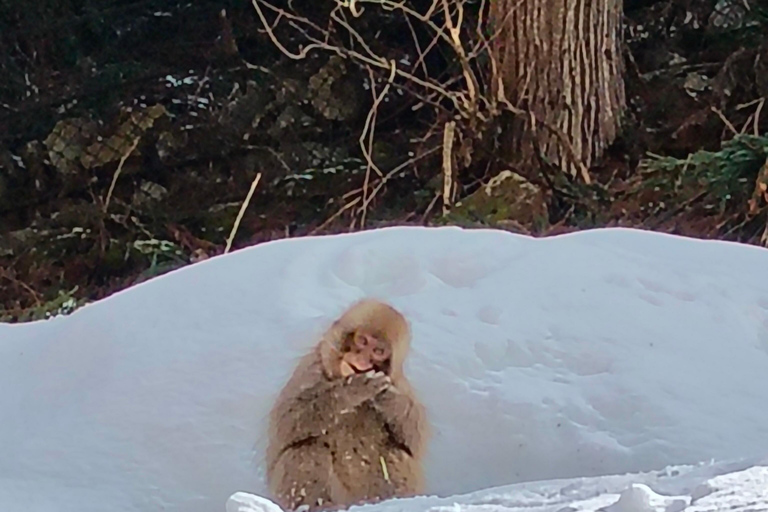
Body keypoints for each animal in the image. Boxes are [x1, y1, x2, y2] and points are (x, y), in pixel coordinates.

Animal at [265, 298, 429, 512]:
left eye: (378, 351)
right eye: (363, 341)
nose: (362, 358)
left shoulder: (400, 383)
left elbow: (415, 441)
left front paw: (387, 398)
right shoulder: (311, 368)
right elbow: (285, 422)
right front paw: (351, 391)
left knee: (392, 452)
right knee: (306, 448)